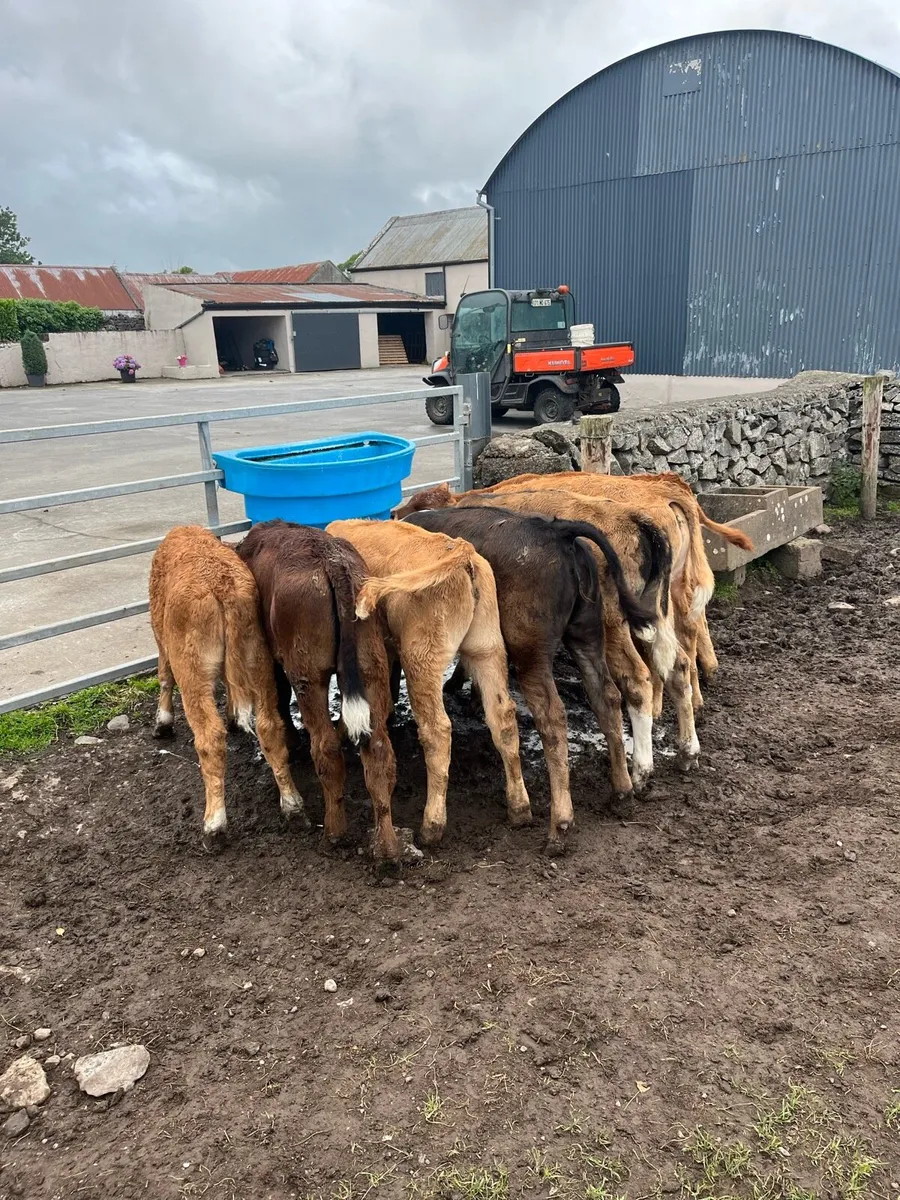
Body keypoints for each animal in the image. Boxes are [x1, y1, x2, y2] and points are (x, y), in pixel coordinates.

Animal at [149, 525, 305, 850]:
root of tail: (222, 588)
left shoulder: (162, 639)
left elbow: (164, 677)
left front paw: (162, 723)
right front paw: (233, 716)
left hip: (193, 671)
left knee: (210, 737)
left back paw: (214, 823)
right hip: (257, 657)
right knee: (269, 727)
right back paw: (292, 804)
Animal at [236, 520, 401, 865]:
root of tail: (332, 560)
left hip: (308, 675)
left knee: (325, 747)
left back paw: (334, 834)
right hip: (371, 666)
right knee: (379, 749)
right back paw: (388, 848)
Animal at [327, 518, 531, 846]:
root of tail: (461, 552)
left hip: (421, 660)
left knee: (437, 730)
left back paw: (432, 824)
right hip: (487, 648)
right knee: (503, 719)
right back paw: (520, 808)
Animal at [403, 506, 661, 848]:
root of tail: (558, 532)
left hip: (530, 652)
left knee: (552, 715)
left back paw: (560, 824)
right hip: (587, 634)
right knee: (606, 696)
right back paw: (622, 791)